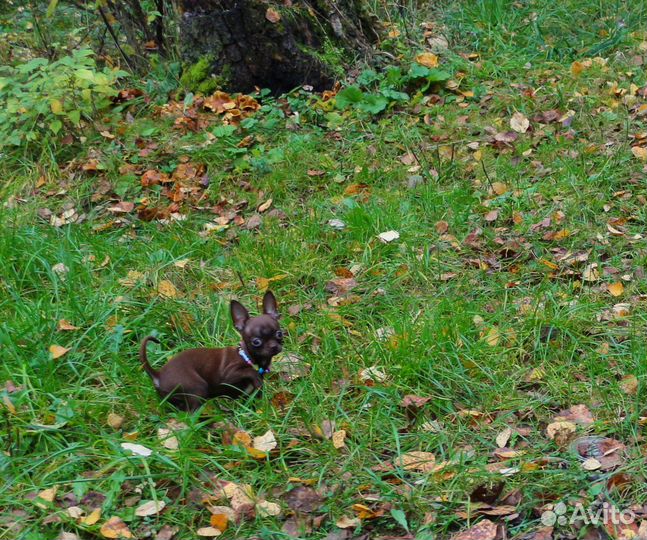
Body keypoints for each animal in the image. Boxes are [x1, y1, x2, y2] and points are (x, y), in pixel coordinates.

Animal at [140, 294, 282, 412]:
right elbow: (249, 371)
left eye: (279, 334)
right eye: (256, 342)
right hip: (198, 388)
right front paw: (255, 376)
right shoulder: (228, 375)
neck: (247, 356)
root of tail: (158, 375)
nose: (274, 346)